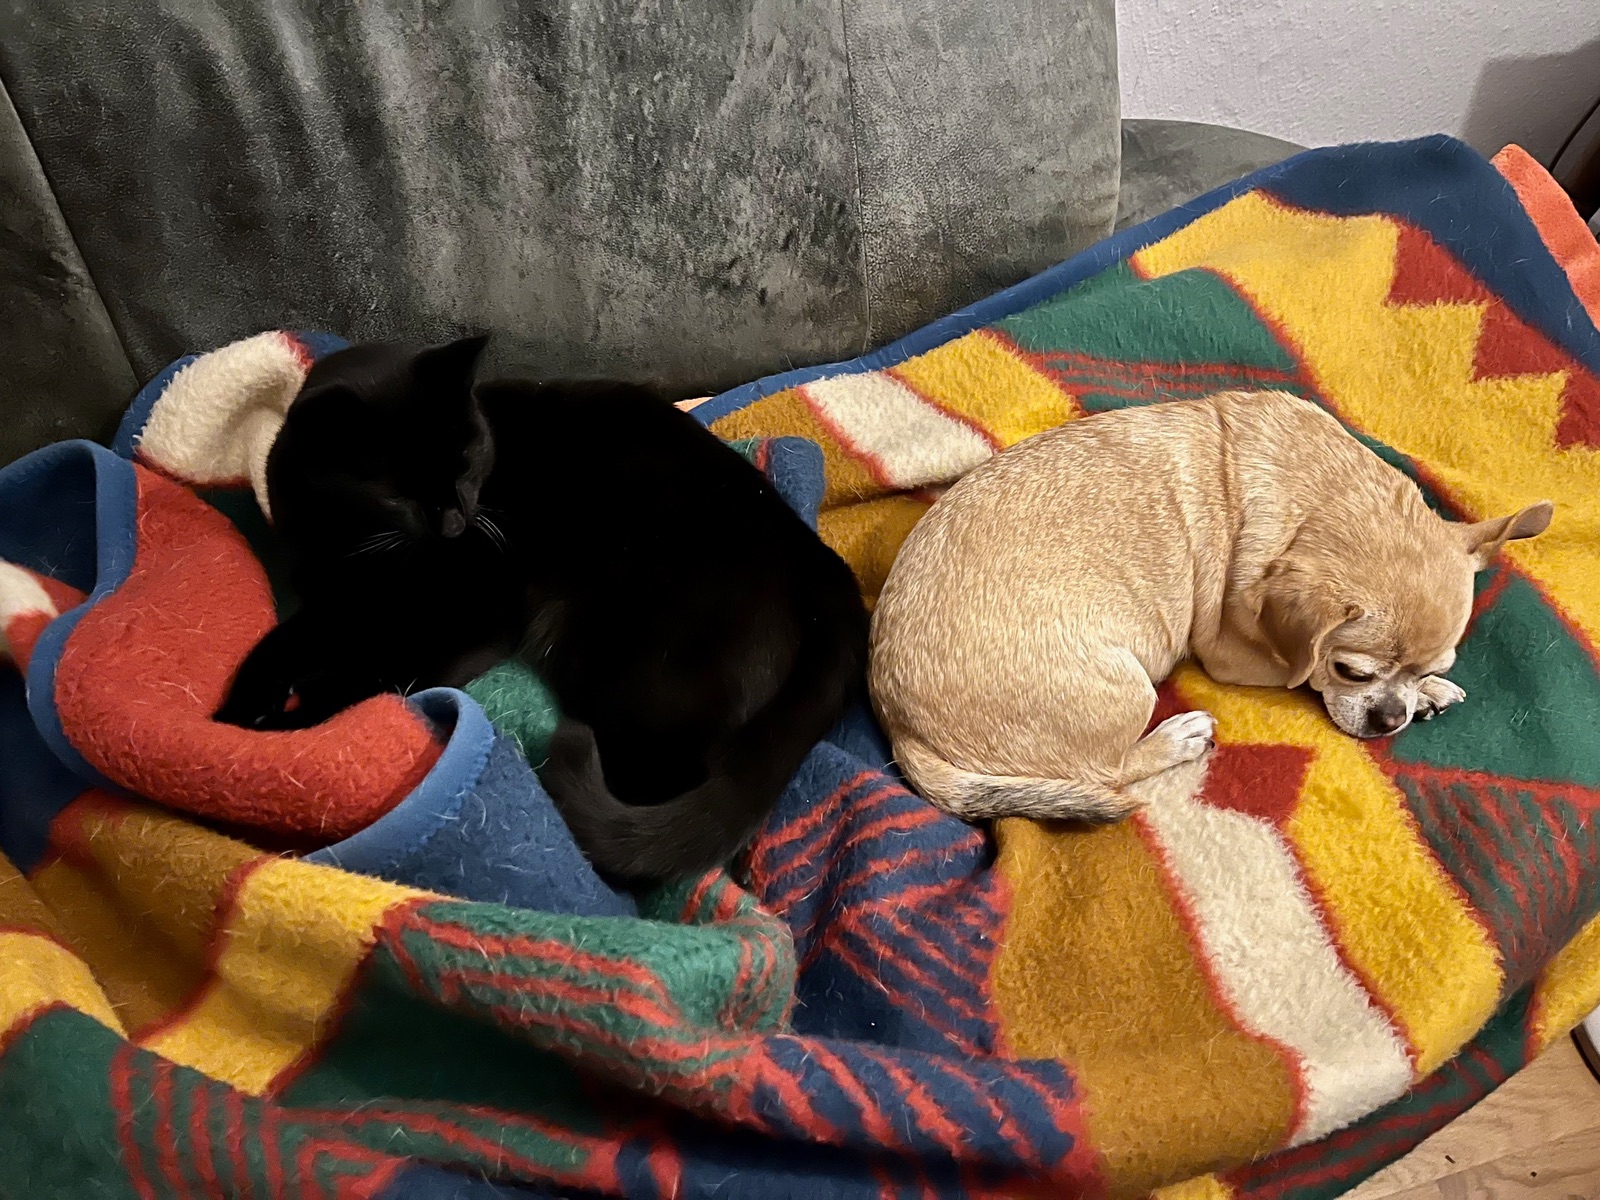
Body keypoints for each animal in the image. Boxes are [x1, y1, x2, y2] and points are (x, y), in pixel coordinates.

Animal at [215, 337, 870, 884]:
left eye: (468, 460)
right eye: (395, 493)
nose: (457, 522)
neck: (352, 545)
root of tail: (818, 562)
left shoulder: (473, 617)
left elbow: (381, 675)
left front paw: (287, 722)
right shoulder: (334, 599)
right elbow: (281, 642)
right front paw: (241, 706)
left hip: (625, 667)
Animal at [868, 390, 1552, 823]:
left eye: (1434, 663)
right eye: (1349, 671)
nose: (1390, 719)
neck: (1320, 504)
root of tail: (899, 724)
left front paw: (1429, 691)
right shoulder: (1237, 654)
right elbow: (1298, 674)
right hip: (1126, 690)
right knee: (1105, 771)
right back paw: (1177, 738)